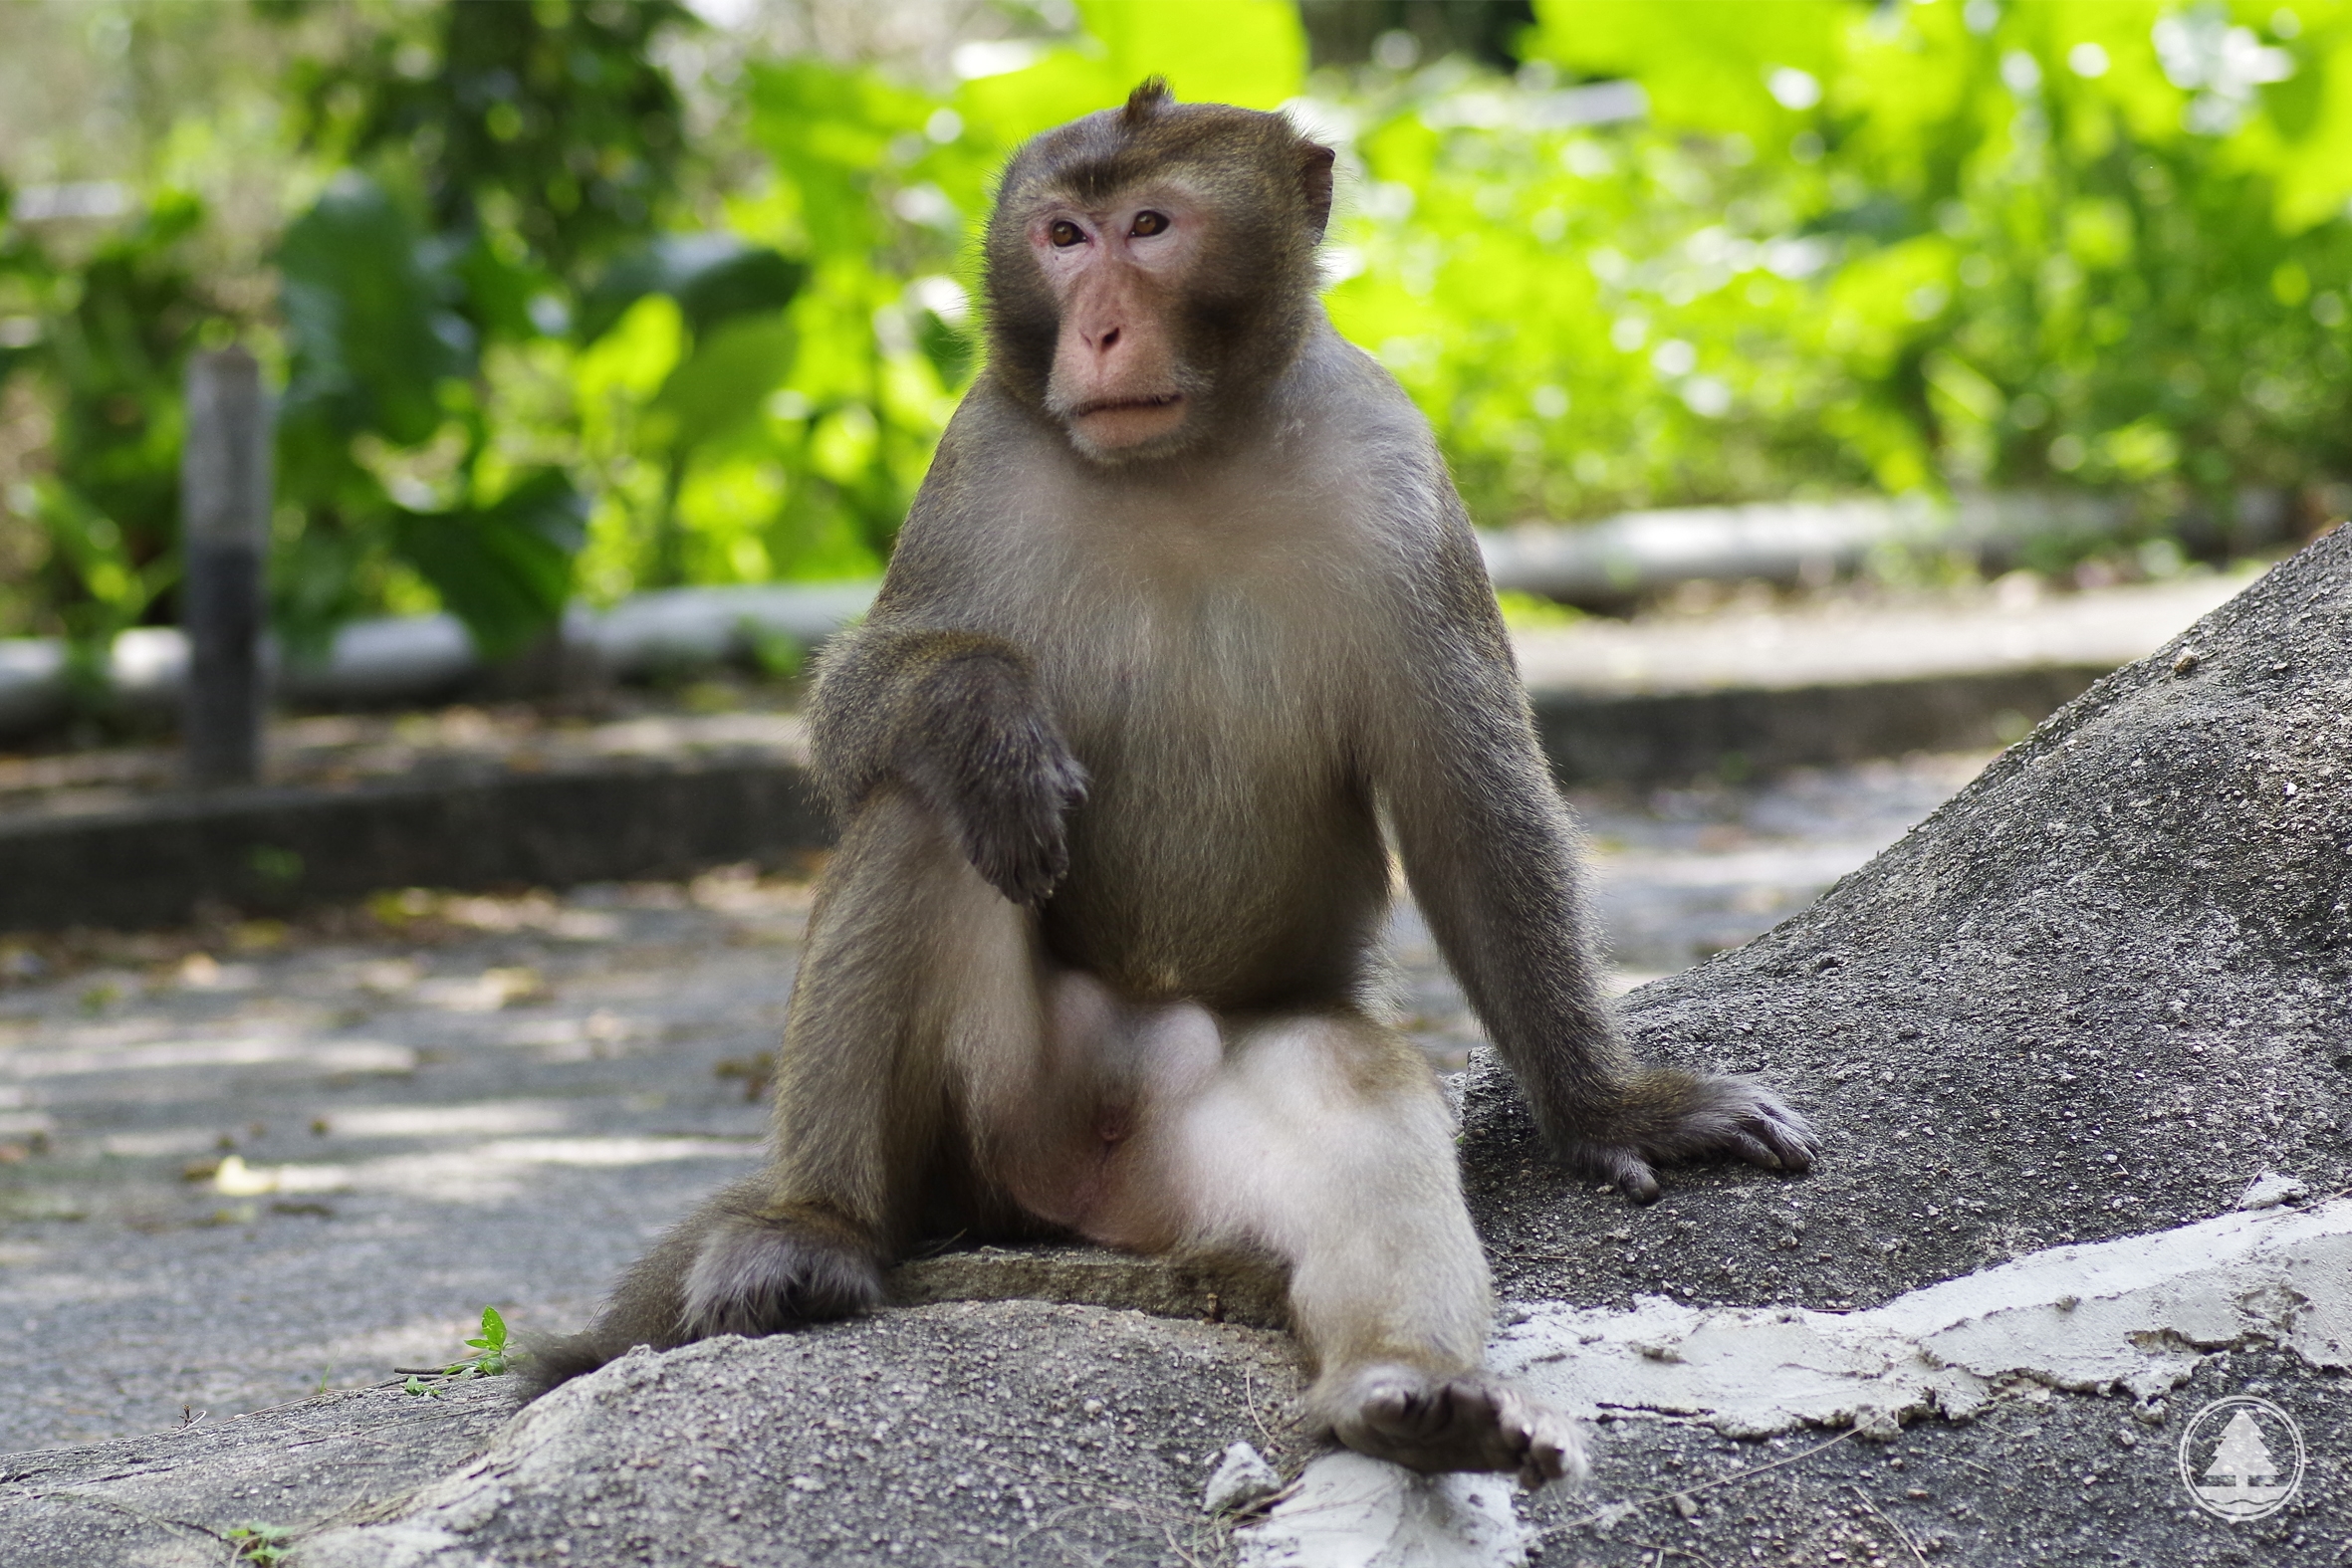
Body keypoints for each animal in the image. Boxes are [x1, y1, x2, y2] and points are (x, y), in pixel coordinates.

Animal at [529, 83, 1815, 1485]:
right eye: (1061, 235)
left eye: (1150, 227)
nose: (1097, 327)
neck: (1187, 461)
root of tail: (1081, 1175)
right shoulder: (975, 459)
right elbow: (854, 716)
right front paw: (981, 719)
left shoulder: (1398, 476)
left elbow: (1469, 811)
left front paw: (1612, 1108)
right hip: (972, 1140)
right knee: (922, 818)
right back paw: (816, 1230)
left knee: (1354, 1094)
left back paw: (1405, 1387)